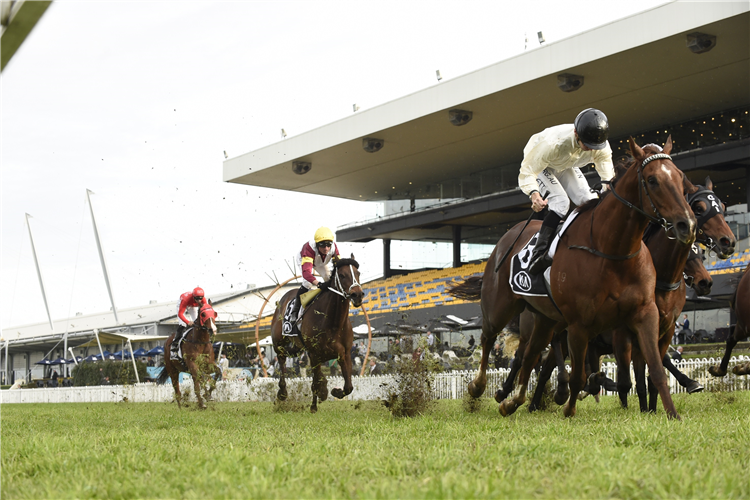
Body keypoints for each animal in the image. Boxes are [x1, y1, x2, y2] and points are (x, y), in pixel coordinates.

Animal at [272, 256, 366, 412]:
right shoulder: (314, 354)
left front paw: (334, 391)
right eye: (342, 275)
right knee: (282, 362)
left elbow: (348, 387)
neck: (333, 321)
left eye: (358, 273)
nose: (357, 294)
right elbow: (316, 382)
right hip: (279, 343)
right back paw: (282, 393)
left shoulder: (344, 354)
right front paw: (315, 404)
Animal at [446, 136, 700, 418]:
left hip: (545, 318)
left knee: (530, 354)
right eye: (652, 180)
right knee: (489, 338)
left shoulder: (645, 314)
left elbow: (655, 368)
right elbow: (578, 376)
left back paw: (513, 400)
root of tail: (507, 235)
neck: (613, 250)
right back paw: (479, 386)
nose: (687, 225)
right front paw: (569, 408)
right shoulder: (580, 325)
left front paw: (672, 414)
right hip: (499, 307)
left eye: (680, 177)